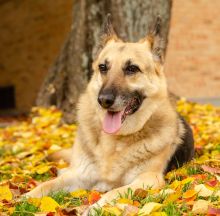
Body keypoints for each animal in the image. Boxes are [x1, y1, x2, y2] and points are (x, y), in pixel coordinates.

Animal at [26, 16, 194, 213]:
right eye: (103, 67)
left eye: (132, 69)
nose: (104, 100)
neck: (113, 141)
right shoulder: (79, 174)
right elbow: (46, 185)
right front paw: (24, 198)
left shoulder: (148, 179)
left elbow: (114, 192)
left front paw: (94, 208)